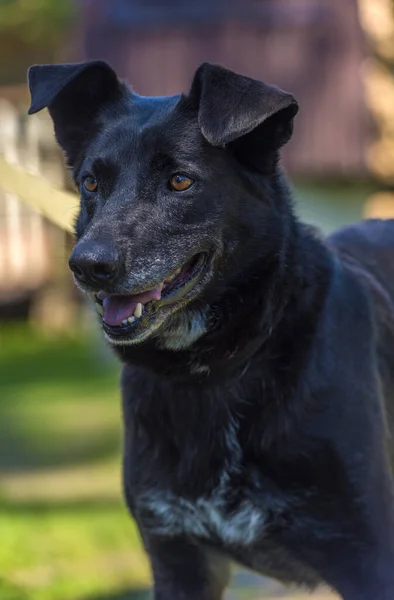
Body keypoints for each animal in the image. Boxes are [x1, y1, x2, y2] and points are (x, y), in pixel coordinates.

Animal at [29, 62, 394, 600]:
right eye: (92, 184)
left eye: (181, 181)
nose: (88, 266)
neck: (214, 371)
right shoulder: (178, 557)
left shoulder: (365, 558)